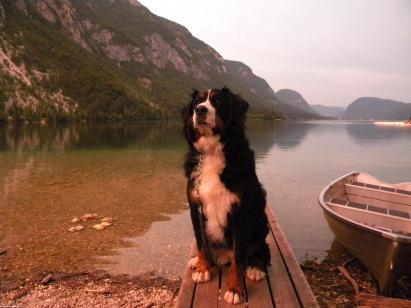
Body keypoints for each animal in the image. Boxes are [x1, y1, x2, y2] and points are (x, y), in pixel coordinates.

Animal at [183, 87, 272, 306]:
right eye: (197, 102)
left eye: (218, 101)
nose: (200, 110)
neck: (212, 152)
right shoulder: (195, 206)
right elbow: (200, 243)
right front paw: (203, 268)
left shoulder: (239, 212)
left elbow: (238, 258)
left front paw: (234, 289)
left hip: (261, 221)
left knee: (260, 250)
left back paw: (256, 267)